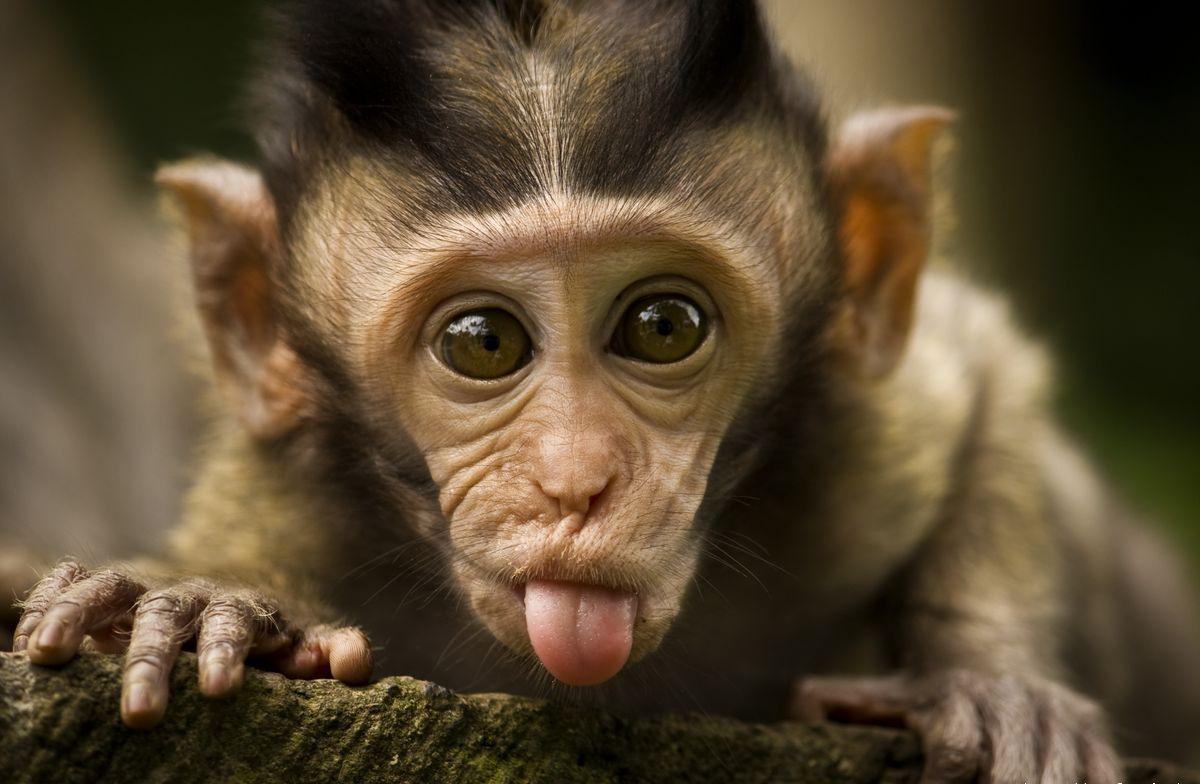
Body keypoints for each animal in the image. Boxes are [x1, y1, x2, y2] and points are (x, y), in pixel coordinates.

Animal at [10, 0, 1200, 778]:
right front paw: (206, 602)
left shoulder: (866, 448)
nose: (575, 482)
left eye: (662, 327)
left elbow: (988, 372)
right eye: (483, 342)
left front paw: (989, 680)